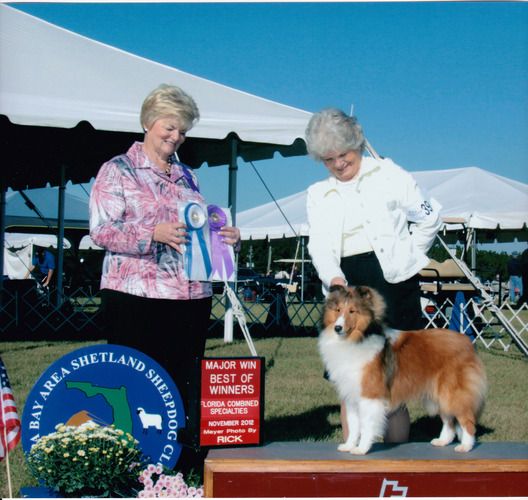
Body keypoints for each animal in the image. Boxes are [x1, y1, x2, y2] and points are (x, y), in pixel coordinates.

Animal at [319, 285, 487, 455]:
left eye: (352, 311)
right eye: (338, 310)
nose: (338, 328)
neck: (357, 339)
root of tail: (467, 342)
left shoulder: (370, 396)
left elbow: (366, 426)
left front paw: (361, 449)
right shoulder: (352, 397)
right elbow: (353, 426)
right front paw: (349, 446)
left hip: (453, 393)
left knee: (467, 421)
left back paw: (465, 446)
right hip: (440, 394)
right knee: (449, 421)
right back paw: (442, 441)